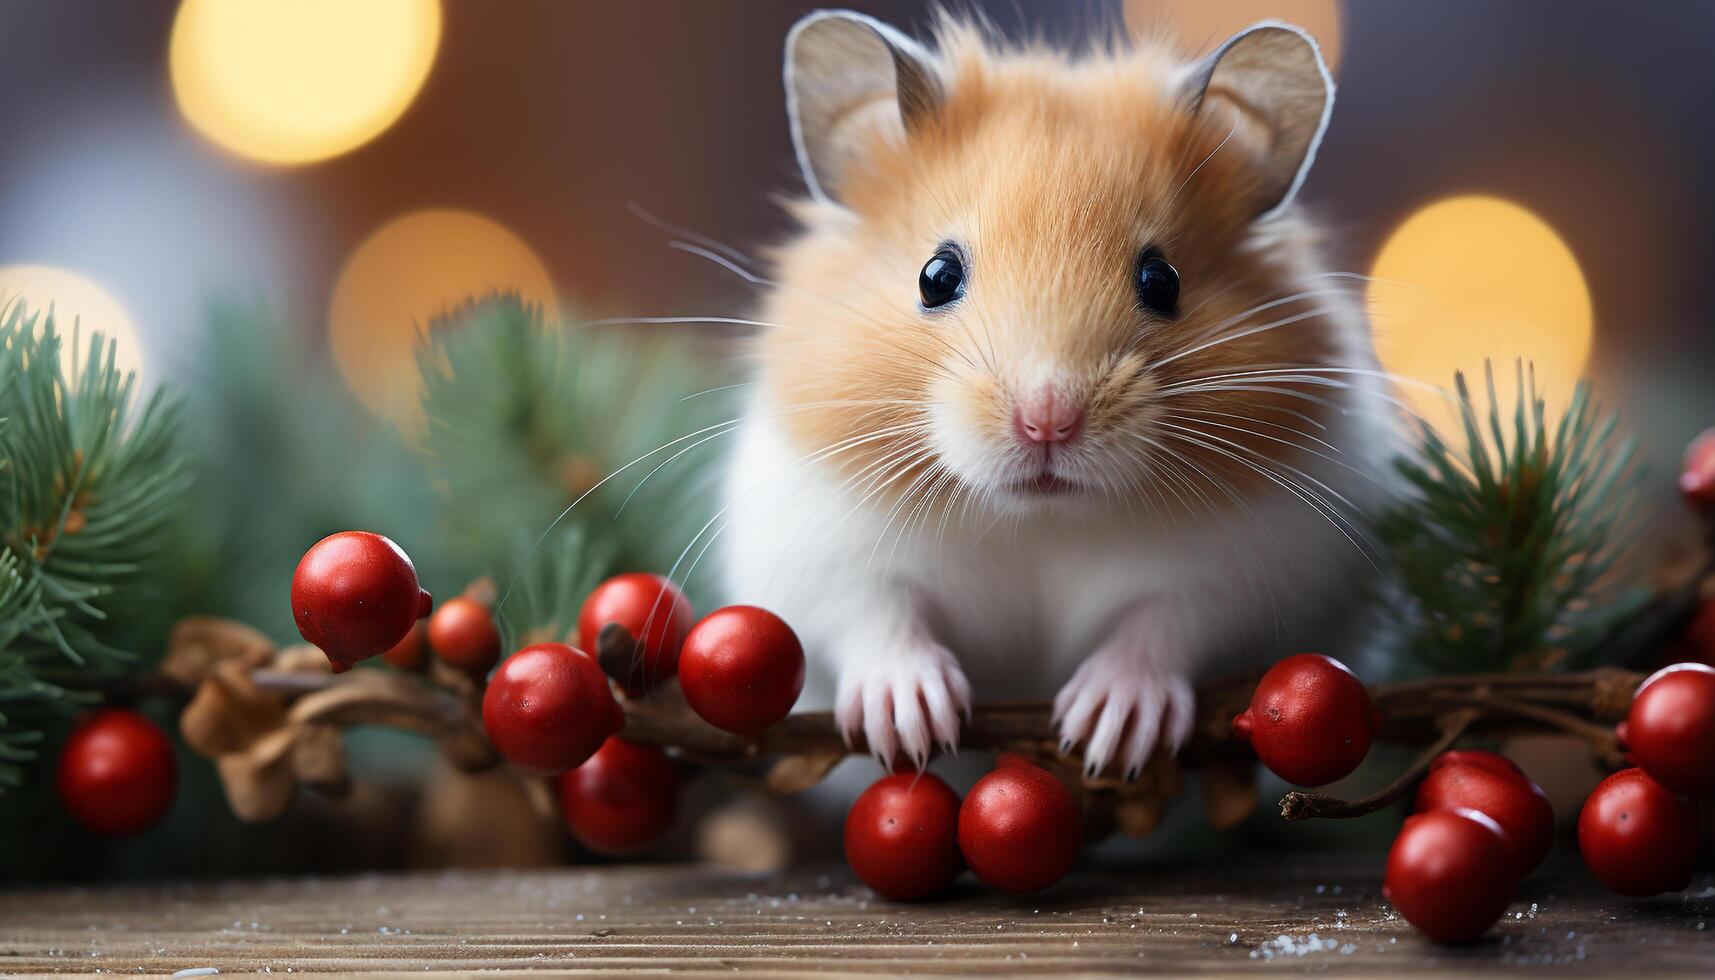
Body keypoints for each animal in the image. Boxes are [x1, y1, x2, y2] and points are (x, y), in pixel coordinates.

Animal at [713, 11, 1392, 782]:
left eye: (1162, 281)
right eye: (935, 276)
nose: (1047, 422)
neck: (1037, 520)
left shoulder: (1251, 573)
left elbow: (1165, 624)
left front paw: (1107, 732)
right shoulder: (823, 550)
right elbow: (877, 616)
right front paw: (911, 722)